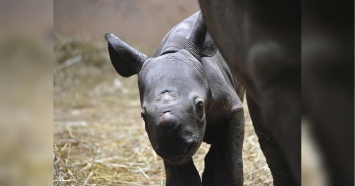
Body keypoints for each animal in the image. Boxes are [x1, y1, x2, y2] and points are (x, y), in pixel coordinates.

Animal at [104, 12, 246, 185]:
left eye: (200, 107)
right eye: (143, 116)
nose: (173, 145)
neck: (173, 51)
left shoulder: (231, 109)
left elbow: (226, 159)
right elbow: (181, 173)